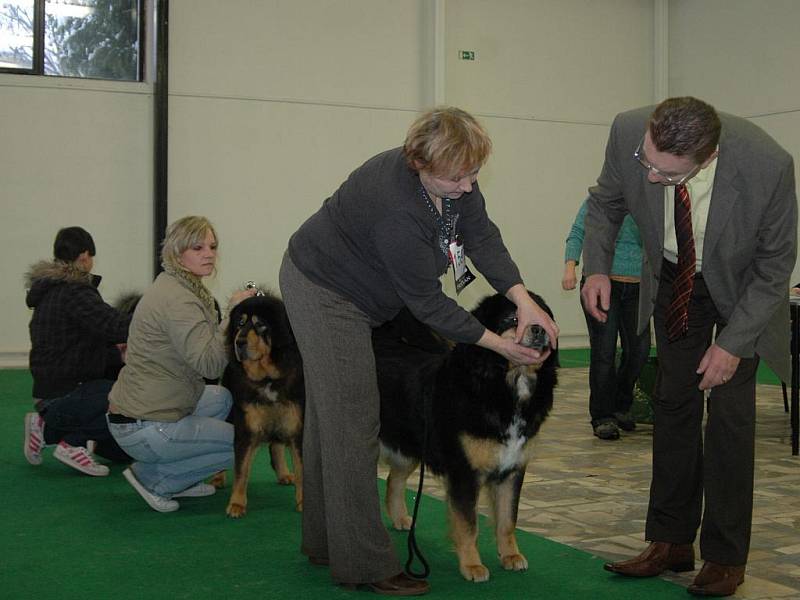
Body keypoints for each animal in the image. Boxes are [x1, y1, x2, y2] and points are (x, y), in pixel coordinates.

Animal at [219, 290, 306, 516]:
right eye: (240, 324)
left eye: (260, 325)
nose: (239, 342)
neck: (268, 378)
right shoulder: (246, 428)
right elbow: (242, 469)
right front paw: (237, 504)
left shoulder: (296, 427)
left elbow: (301, 469)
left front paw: (304, 502)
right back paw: (218, 477)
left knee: (276, 445)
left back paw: (283, 473)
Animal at [374, 292, 556, 584]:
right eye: (513, 319)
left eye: (544, 316)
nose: (539, 329)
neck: (505, 387)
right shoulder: (465, 473)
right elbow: (468, 524)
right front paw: (472, 566)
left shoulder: (512, 470)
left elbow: (508, 519)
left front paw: (510, 556)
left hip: (410, 447)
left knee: (394, 479)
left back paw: (401, 519)